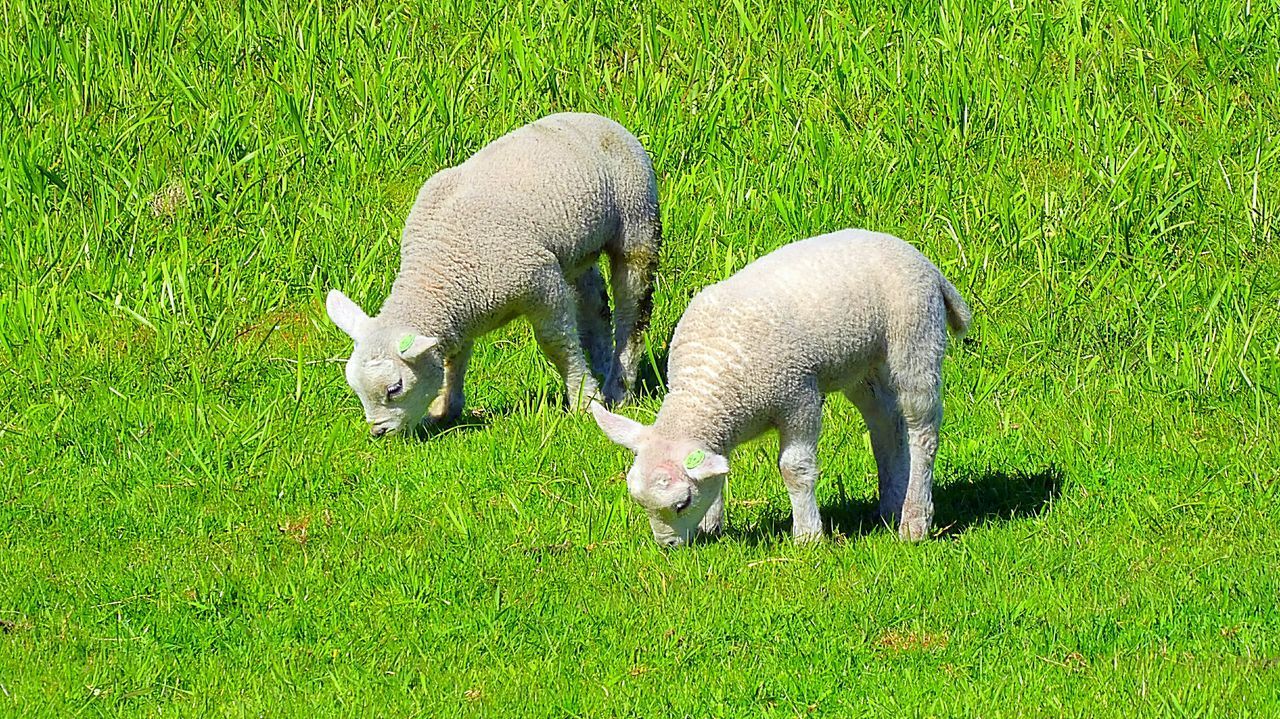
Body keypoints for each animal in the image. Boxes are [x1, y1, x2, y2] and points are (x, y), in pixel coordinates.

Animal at [325, 112, 665, 437]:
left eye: (395, 389)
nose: (378, 432)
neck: (438, 270)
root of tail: (599, 119)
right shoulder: (457, 314)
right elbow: (454, 357)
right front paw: (446, 408)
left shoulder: (540, 280)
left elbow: (557, 345)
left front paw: (584, 400)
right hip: (578, 250)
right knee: (595, 307)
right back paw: (604, 368)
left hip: (637, 218)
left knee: (633, 312)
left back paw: (618, 388)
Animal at [588, 227, 967, 542]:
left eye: (682, 503)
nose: (667, 547)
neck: (707, 383)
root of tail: (924, 262)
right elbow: (719, 466)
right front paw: (712, 525)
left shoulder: (798, 397)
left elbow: (795, 468)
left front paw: (808, 537)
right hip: (863, 366)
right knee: (886, 423)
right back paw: (891, 505)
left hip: (915, 338)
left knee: (923, 429)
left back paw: (914, 521)